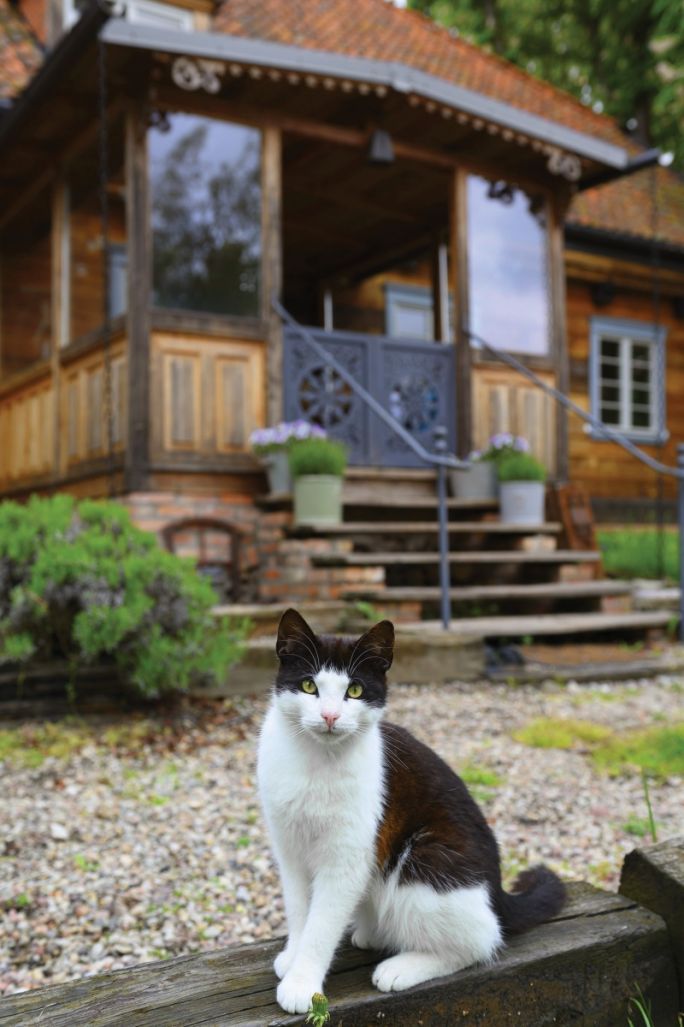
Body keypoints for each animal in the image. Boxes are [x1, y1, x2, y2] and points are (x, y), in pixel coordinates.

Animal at [256, 603, 562, 1014]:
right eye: (309, 686)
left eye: (354, 690)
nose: (330, 716)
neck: (315, 762)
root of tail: (497, 891)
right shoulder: (289, 847)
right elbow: (299, 909)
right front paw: (293, 957)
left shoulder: (348, 857)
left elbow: (322, 923)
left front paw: (303, 983)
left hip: (425, 858)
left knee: (483, 939)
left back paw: (403, 967)